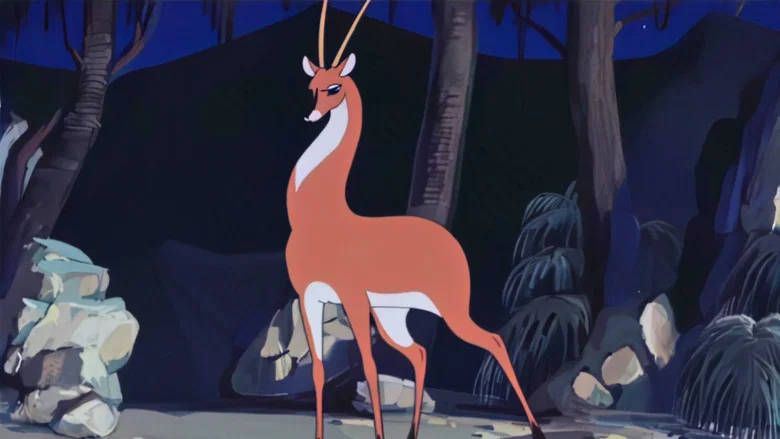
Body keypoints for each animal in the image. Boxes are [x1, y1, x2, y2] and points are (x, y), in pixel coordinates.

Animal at [284, 1, 546, 438]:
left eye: (335, 87)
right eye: (313, 86)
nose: (310, 116)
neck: (320, 217)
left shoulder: (352, 297)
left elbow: (369, 365)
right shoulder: (309, 295)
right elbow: (320, 372)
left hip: (450, 309)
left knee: (492, 340)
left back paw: (537, 428)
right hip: (394, 315)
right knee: (420, 352)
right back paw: (411, 432)